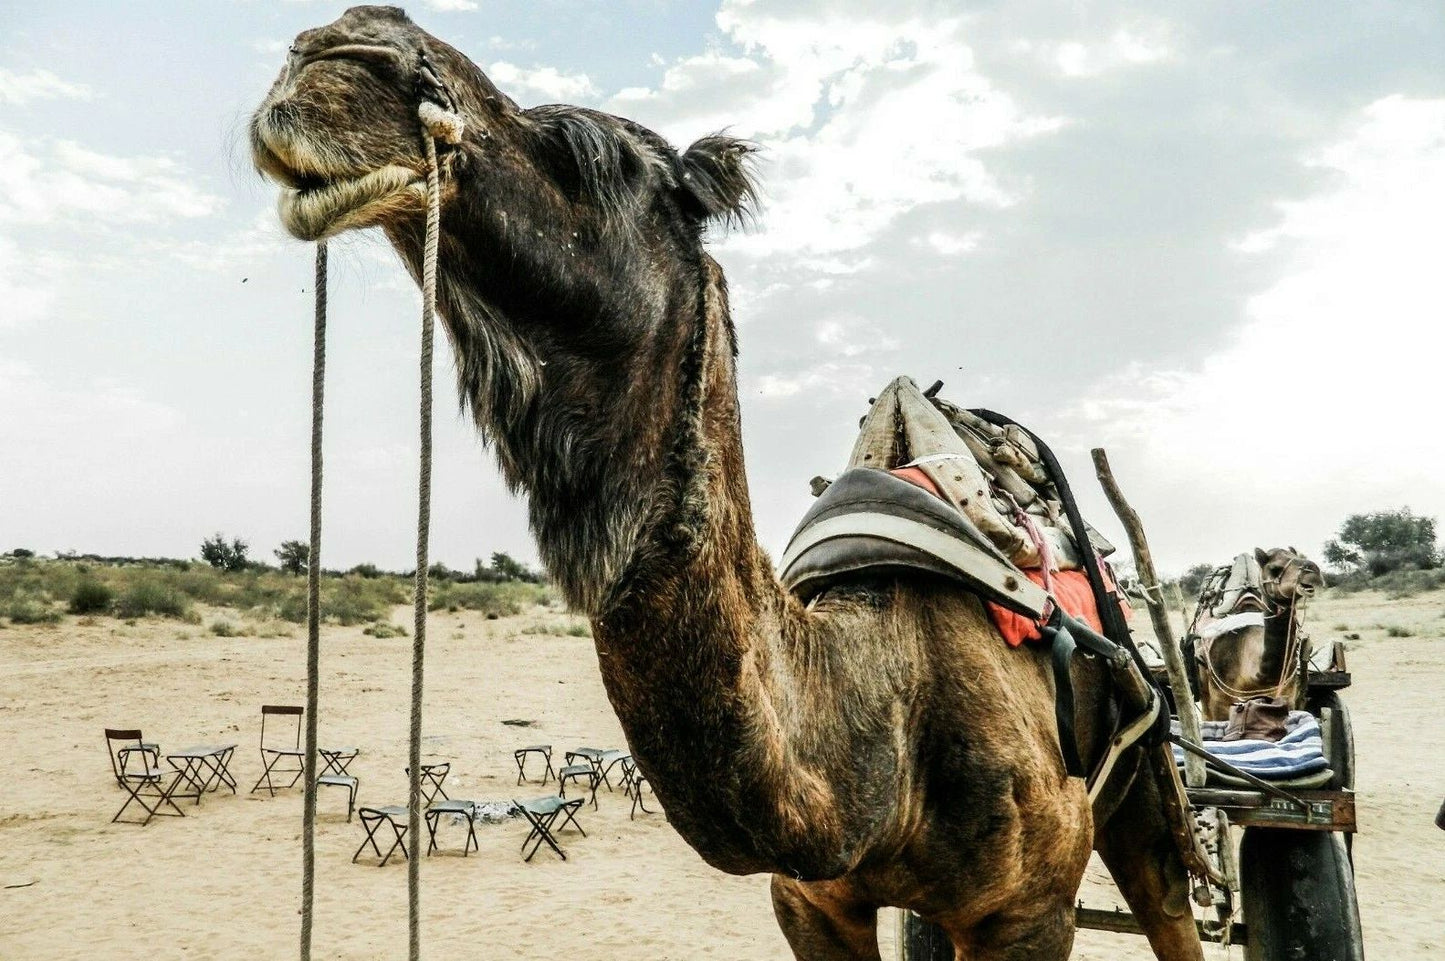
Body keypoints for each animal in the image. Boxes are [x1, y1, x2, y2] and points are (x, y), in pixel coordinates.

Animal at [250, 8, 1205, 958]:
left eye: (593, 154)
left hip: (1144, 782)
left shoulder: (1028, 910)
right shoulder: (808, 900)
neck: (877, 723)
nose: (340, 49)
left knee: (1168, 897)